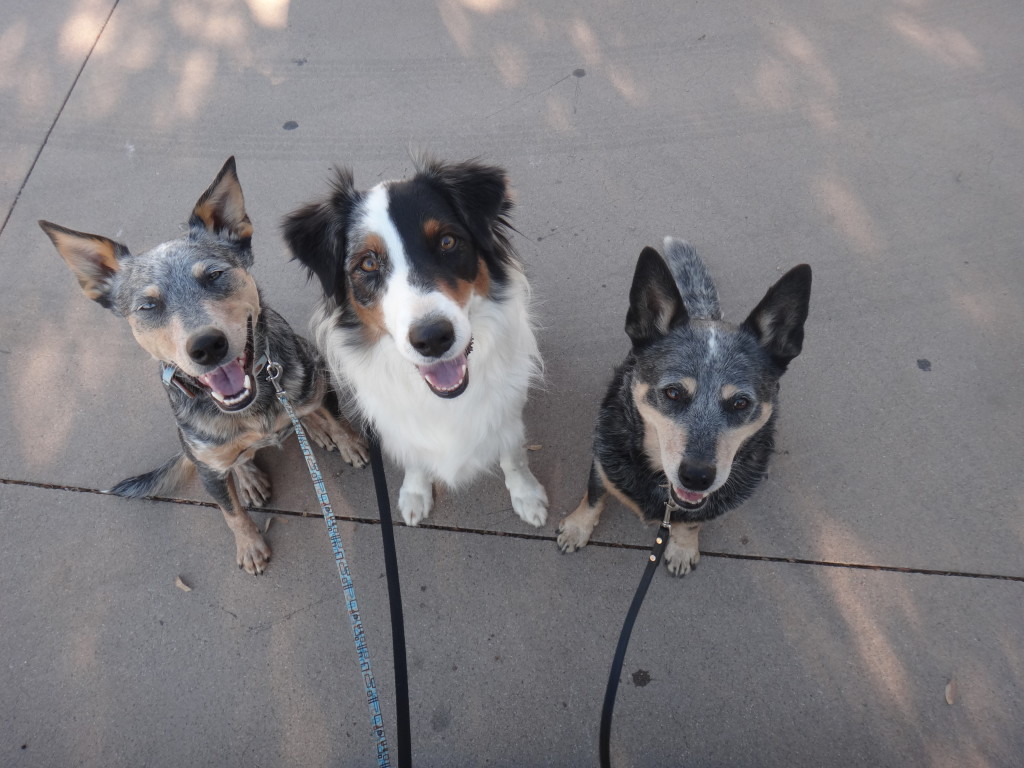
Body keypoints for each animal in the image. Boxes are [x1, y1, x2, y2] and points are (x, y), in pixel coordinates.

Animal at [284, 156, 548, 528]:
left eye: (448, 242)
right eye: (368, 263)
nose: (432, 338)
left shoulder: (507, 409)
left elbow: (513, 455)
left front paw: (526, 494)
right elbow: (414, 456)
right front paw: (415, 492)